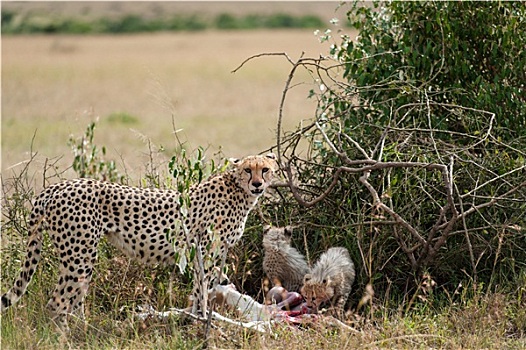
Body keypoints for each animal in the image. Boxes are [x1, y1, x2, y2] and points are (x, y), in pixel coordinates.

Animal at [1, 153, 280, 330]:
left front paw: (194, 319)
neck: (239, 190)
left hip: (78, 257)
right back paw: (67, 337)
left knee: (74, 298)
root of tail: (58, 186)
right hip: (79, 256)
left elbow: (202, 289)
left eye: (265, 169)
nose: (257, 184)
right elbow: (202, 288)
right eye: (248, 170)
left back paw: (84, 329)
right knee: (57, 302)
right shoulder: (207, 251)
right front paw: (201, 322)